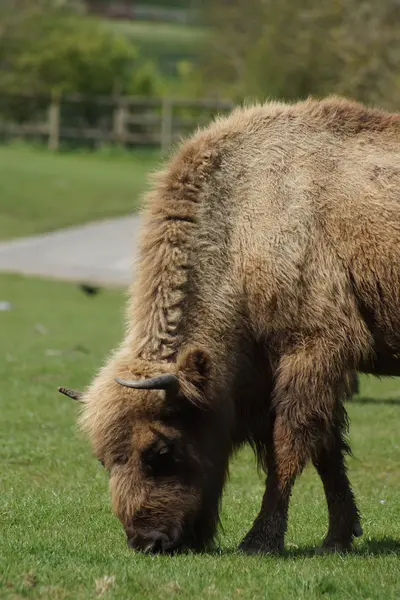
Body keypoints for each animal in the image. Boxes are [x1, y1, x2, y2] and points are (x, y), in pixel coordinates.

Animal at [59, 97, 400, 552]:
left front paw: (260, 540)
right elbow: (326, 450)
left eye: (161, 452)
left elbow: (290, 444)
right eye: (103, 459)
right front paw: (338, 537)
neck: (240, 224)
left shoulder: (314, 350)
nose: (148, 542)